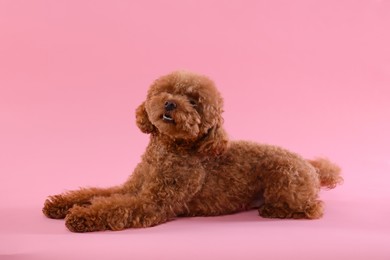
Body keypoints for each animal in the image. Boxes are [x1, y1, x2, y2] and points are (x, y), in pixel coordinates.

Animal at [42, 70, 342, 232]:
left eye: (194, 102)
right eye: (167, 91)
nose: (171, 104)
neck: (166, 150)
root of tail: (312, 167)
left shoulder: (154, 203)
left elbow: (116, 207)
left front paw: (80, 216)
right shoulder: (131, 187)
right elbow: (96, 193)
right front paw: (60, 204)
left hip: (286, 178)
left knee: (313, 208)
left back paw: (273, 210)